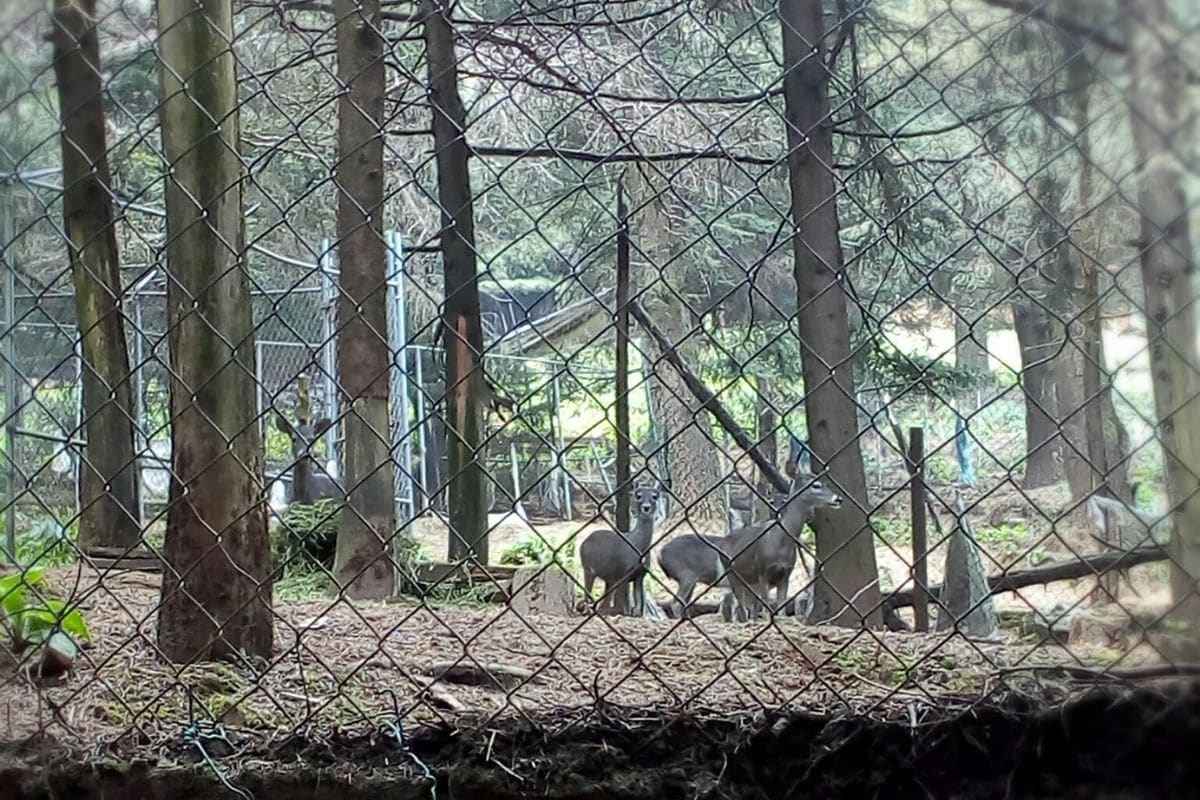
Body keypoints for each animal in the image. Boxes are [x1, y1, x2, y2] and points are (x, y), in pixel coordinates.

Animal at [580, 485, 661, 616]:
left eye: (654, 496)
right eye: (638, 496)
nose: (646, 507)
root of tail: (584, 542)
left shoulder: (640, 575)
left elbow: (639, 604)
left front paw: (636, 613)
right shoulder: (623, 573)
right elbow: (626, 605)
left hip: (609, 578)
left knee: (605, 598)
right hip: (588, 569)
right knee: (587, 592)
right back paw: (587, 610)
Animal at [718, 472, 841, 622]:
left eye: (825, 483)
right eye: (816, 485)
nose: (838, 499)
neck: (780, 542)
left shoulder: (786, 573)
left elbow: (781, 608)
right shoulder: (763, 571)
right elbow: (766, 609)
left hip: (750, 582)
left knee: (749, 606)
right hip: (732, 574)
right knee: (739, 604)